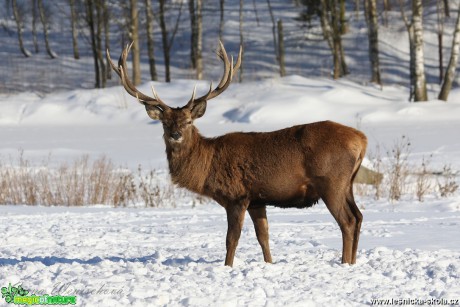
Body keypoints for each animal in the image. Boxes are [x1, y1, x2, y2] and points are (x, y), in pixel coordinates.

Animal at [107, 41, 366, 268]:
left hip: (331, 181)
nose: (176, 135)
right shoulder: (257, 200)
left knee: (347, 221)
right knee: (359, 216)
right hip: (348, 184)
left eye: (188, 121)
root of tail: (361, 139)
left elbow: (231, 239)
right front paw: (269, 264)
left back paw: (344, 263)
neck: (207, 165)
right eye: (164, 122)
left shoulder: (236, 196)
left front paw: (227, 267)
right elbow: (264, 237)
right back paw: (353, 262)